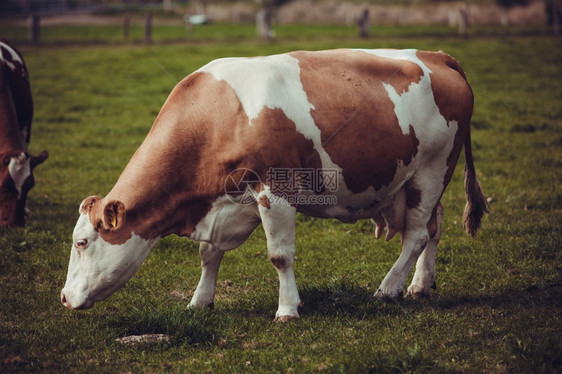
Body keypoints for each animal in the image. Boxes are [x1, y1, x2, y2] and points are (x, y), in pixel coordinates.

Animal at [60, 48, 486, 320]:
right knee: (434, 226)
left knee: (416, 234)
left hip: (432, 169)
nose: (63, 298)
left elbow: (280, 255)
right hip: (418, 181)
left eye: (82, 243)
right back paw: (420, 285)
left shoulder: (274, 189)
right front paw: (200, 302)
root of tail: (435, 55)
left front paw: (287, 310)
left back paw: (389, 288)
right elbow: (208, 254)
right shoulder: (226, 203)